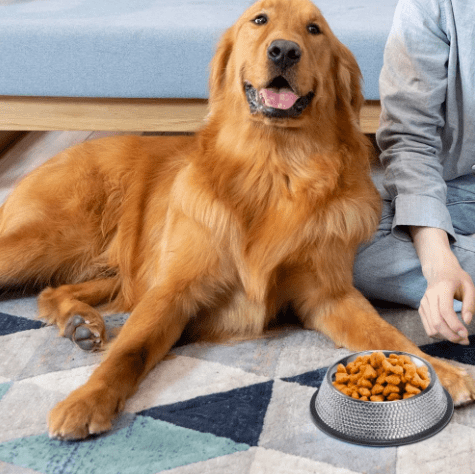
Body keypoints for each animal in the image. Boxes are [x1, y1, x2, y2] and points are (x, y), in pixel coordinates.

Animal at [0, 0, 475, 440]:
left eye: (314, 29)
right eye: (259, 20)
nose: (284, 50)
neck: (275, 168)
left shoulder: (329, 294)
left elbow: (388, 336)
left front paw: (442, 371)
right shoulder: (172, 290)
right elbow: (129, 351)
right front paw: (86, 400)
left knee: (54, 289)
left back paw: (80, 323)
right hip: (48, 241)